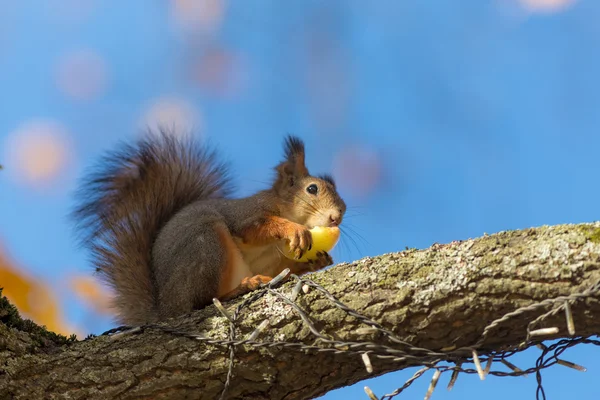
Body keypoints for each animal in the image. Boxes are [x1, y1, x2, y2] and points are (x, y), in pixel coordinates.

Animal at [73, 131, 346, 324]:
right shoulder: (246, 215)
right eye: (312, 189)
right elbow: (257, 227)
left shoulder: (272, 261)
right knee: (202, 302)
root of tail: (166, 308)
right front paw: (293, 229)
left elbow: (281, 268)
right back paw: (243, 287)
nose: (338, 216)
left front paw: (317, 261)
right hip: (206, 244)